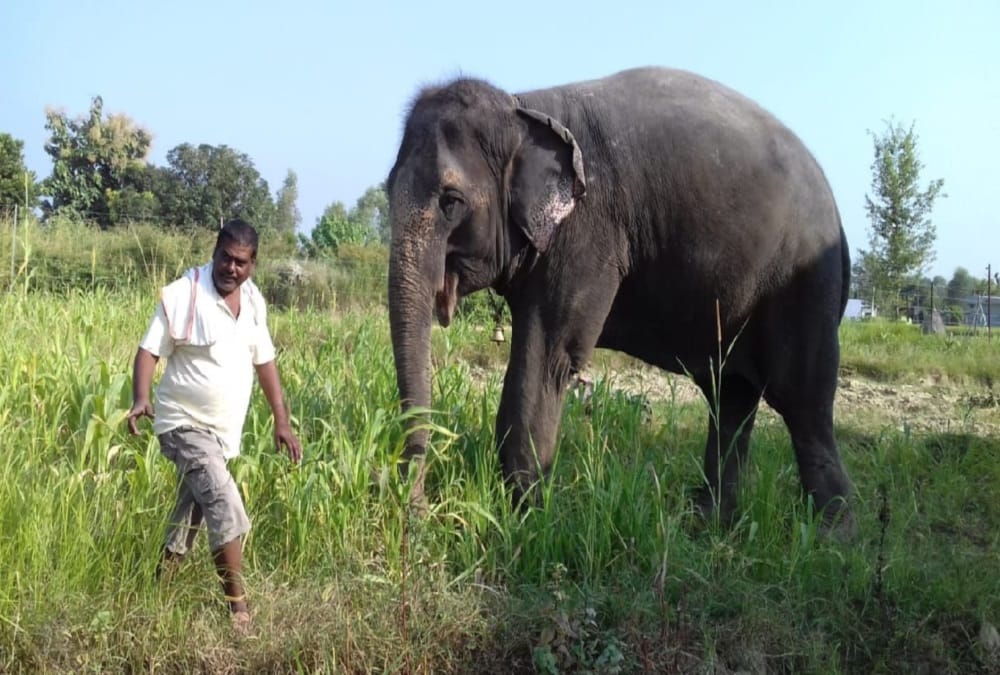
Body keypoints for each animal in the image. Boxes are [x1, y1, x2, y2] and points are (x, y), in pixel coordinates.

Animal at [386, 66, 855, 538]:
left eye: (451, 201)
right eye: (388, 191)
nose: (420, 513)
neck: (522, 107)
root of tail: (838, 215)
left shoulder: (588, 233)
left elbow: (551, 355)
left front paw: (524, 520)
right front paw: (524, 512)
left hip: (803, 286)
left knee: (802, 401)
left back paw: (833, 536)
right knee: (731, 399)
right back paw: (709, 526)